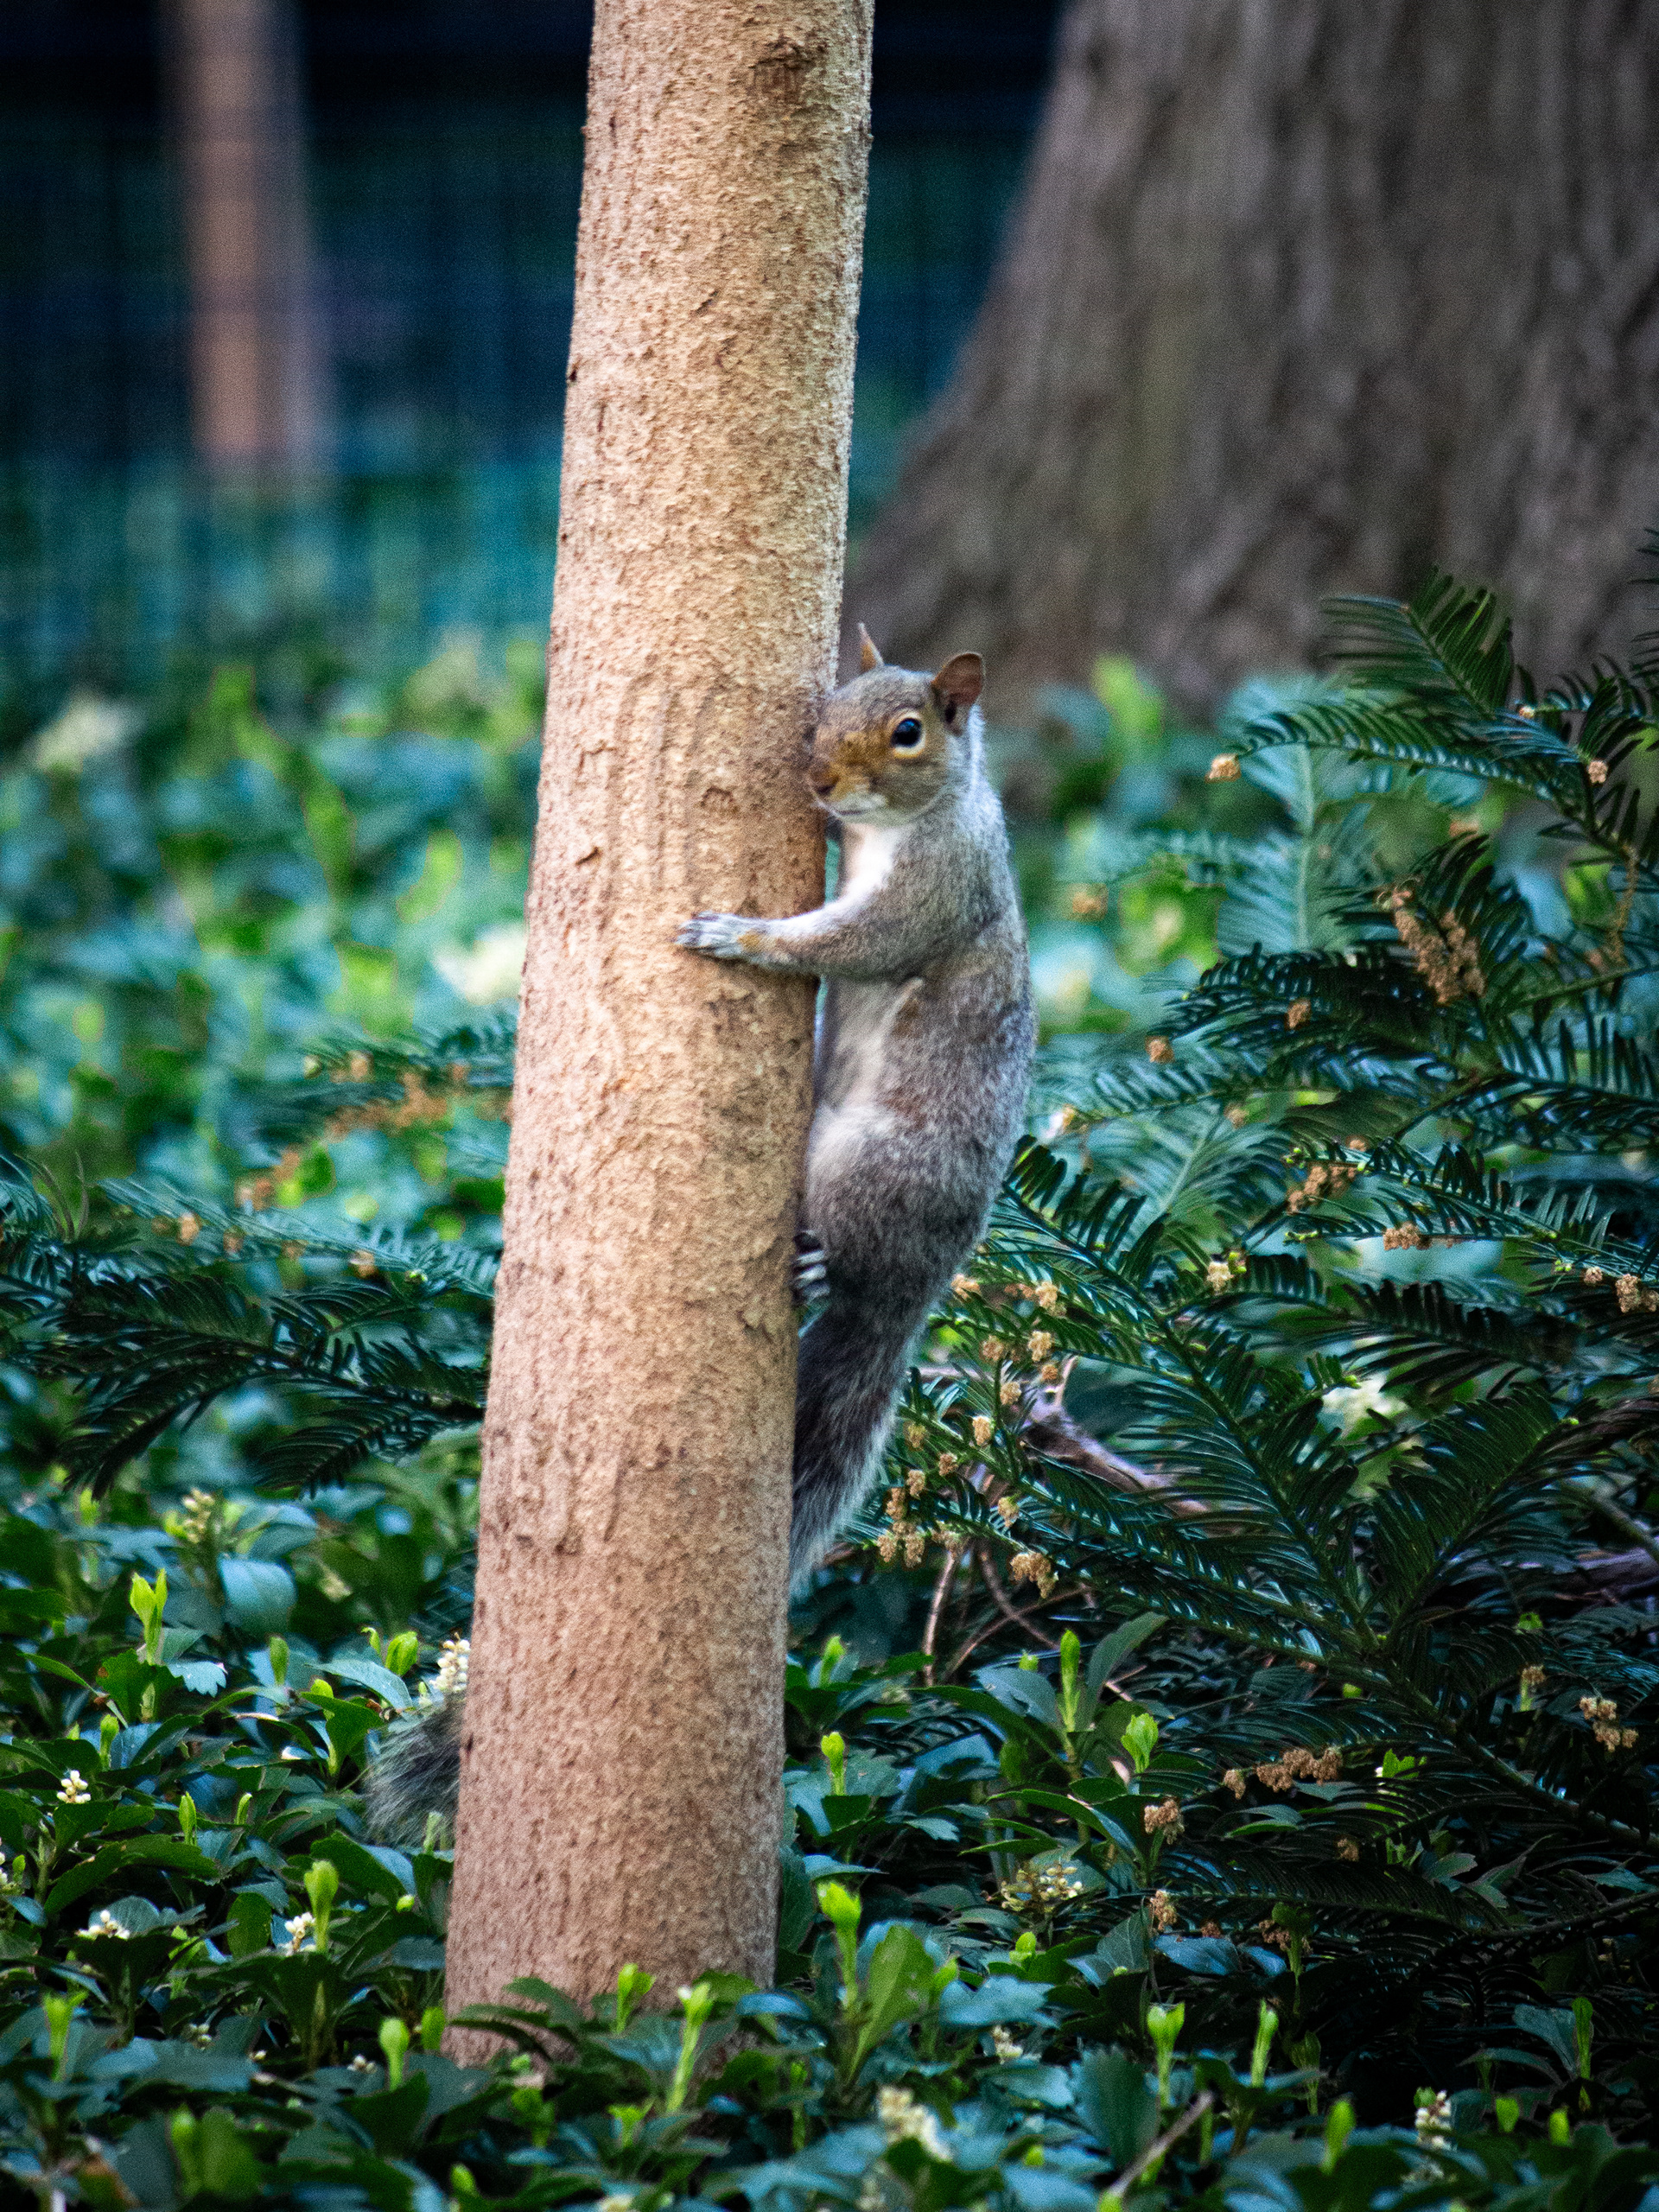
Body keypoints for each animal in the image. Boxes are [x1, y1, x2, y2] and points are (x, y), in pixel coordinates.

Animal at [368, 633, 1033, 1839]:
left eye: (909, 731)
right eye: (828, 706)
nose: (818, 780)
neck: (913, 821)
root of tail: (920, 1289)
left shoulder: (939, 891)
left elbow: (861, 939)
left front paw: (743, 936)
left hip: (868, 1168)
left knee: (855, 1264)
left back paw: (822, 1264)